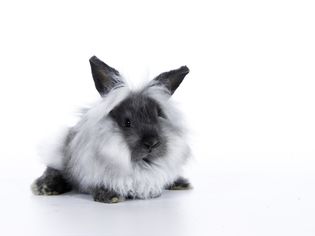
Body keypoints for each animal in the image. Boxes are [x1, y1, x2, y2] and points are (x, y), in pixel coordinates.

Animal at [31, 55, 193, 203]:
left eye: (158, 116)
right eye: (127, 122)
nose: (152, 143)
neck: (141, 164)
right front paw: (111, 196)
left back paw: (182, 184)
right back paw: (43, 188)